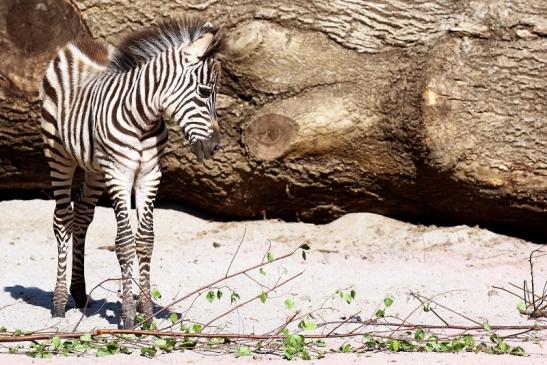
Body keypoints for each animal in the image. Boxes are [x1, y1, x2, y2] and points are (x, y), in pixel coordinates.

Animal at [39, 17, 225, 328]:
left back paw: (79, 293)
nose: (213, 147)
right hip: (59, 154)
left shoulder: (150, 175)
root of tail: (77, 43)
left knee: (81, 217)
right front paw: (127, 315)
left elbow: (145, 240)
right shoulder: (119, 174)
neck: (143, 119)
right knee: (62, 220)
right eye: (203, 92)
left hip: (95, 169)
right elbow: (125, 242)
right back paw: (59, 302)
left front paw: (147, 313)